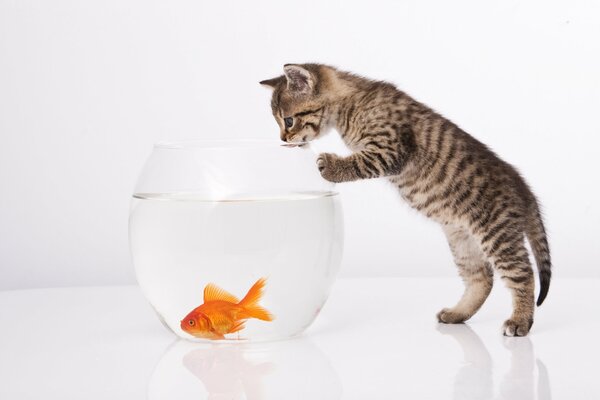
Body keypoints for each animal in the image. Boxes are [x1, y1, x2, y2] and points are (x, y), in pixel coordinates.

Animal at [260, 64, 552, 336]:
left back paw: (520, 320)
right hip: (462, 240)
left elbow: (359, 162)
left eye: (288, 120)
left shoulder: (389, 150)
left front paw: (331, 165)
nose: (283, 139)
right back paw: (457, 313)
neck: (352, 102)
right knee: (482, 278)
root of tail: (524, 188)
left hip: (497, 233)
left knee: (523, 274)